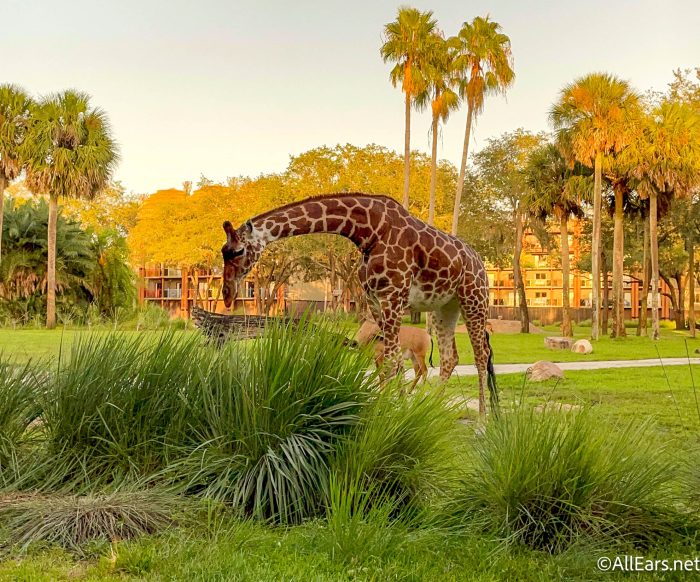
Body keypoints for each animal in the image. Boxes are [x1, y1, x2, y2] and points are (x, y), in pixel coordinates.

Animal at [220, 192, 498, 416]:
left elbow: (390, 361)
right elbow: (395, 362)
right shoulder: (375, 300)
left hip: (474, 299)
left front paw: (389, 418)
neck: (367, 231)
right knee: (450, 357)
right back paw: (434, 412)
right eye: (223, 251)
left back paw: (483, 422)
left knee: (481, 355)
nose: (226, 294)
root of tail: (479, 261)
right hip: (446, 307)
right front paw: (397, 413)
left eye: (238, 251)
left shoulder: (393, 296)